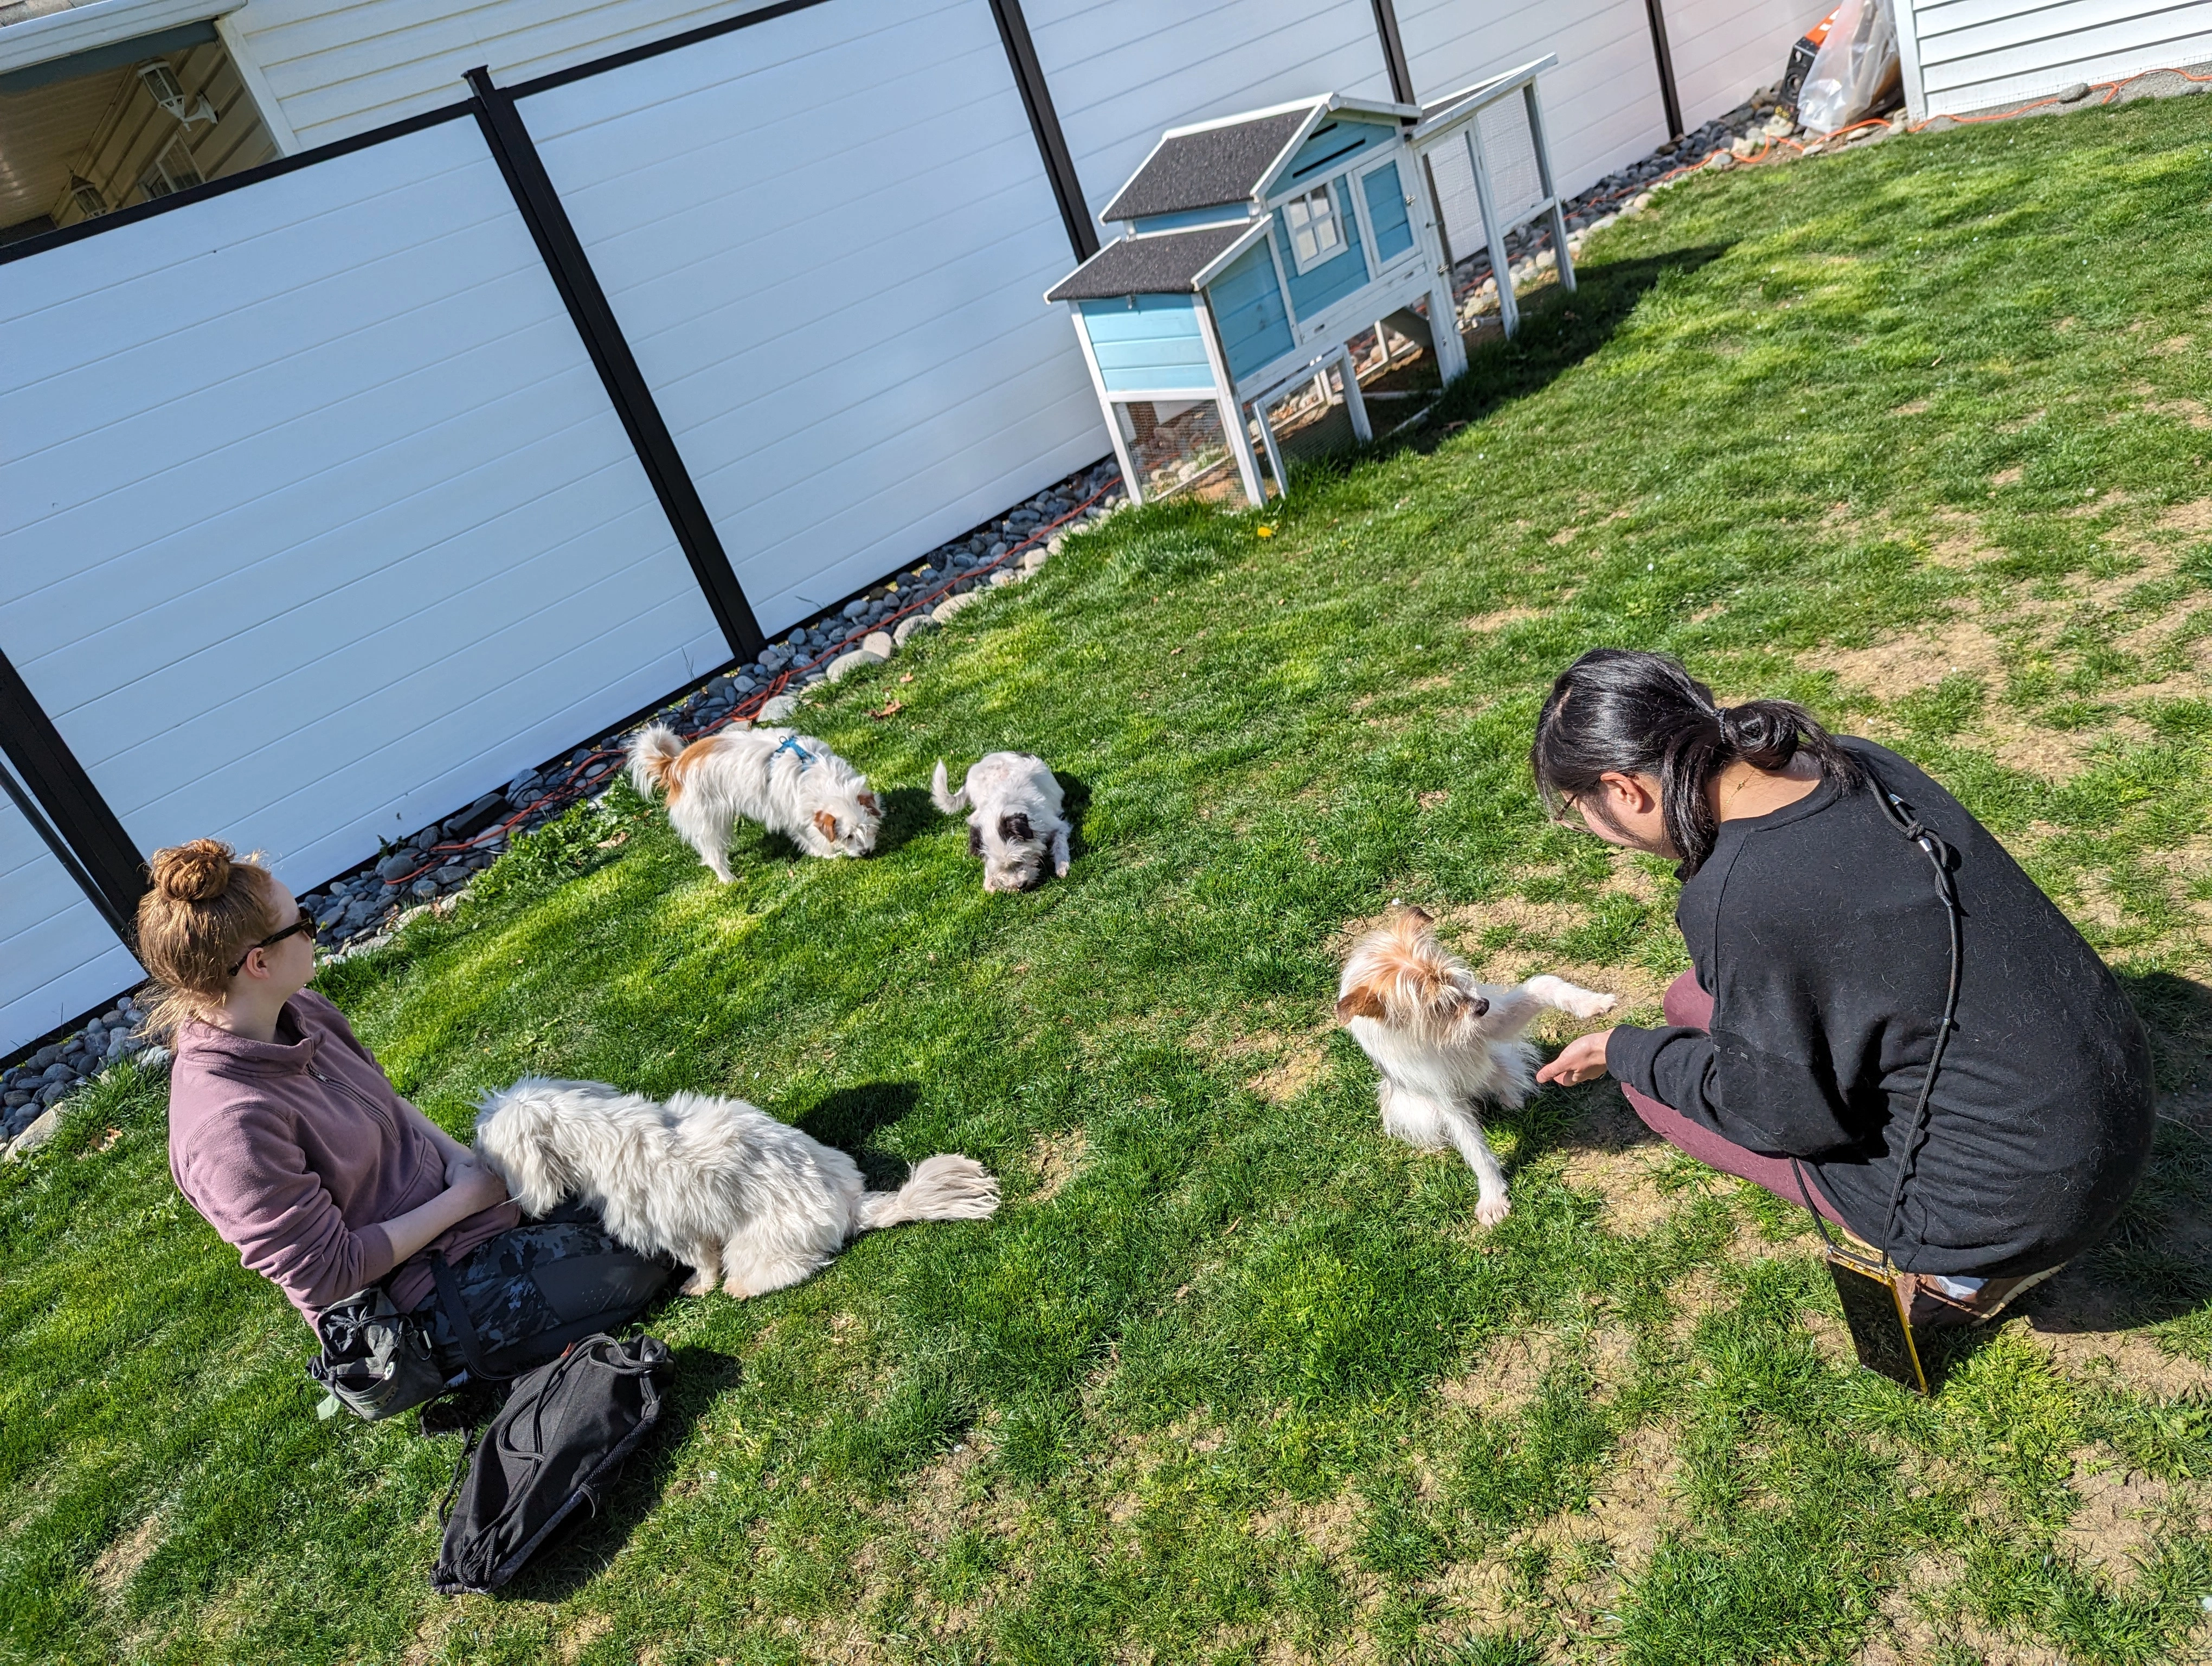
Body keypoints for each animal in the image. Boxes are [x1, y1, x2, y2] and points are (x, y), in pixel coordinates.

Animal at [482, 1079, 1004, 1300]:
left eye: (489, 1154)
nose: (484, 1176)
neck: (599, 1135)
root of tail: (854, 1206)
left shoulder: (682, 1228)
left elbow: (702, 1261)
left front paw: (700, 1286)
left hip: (756, 1245)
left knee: (791, 1268)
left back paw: (741, 1288)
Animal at [628, 726, 876, 885]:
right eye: (848, 837)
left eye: (867, 829)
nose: (866, 852)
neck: (810, 767)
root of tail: (674, 766)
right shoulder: (792, 814)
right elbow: (810, 838)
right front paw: (827, 854)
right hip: (711, 823)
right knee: (713, 855)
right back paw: (729, 880)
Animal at [929, 747, 1075, 889]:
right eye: (1001, 868)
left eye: (1020, 860)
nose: (1020, 886)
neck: (1004, 805)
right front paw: (990, 880)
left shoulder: (1057, 826)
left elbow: (1060, 844)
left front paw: (1062, 866)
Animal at [1336, 911, 1619, 1221]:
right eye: (1439, 1006)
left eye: (1453, 979)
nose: (1483, 1006)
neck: (1441, 1037)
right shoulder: (1448, 1102)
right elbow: (1475, 1150)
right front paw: (1493, 1196)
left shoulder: (1496, 1024)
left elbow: (1542, 983)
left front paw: (1592, 1002)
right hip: (1416, 1109)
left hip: (1501, 1060)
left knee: (1503, 1075)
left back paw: (1511, 1098)